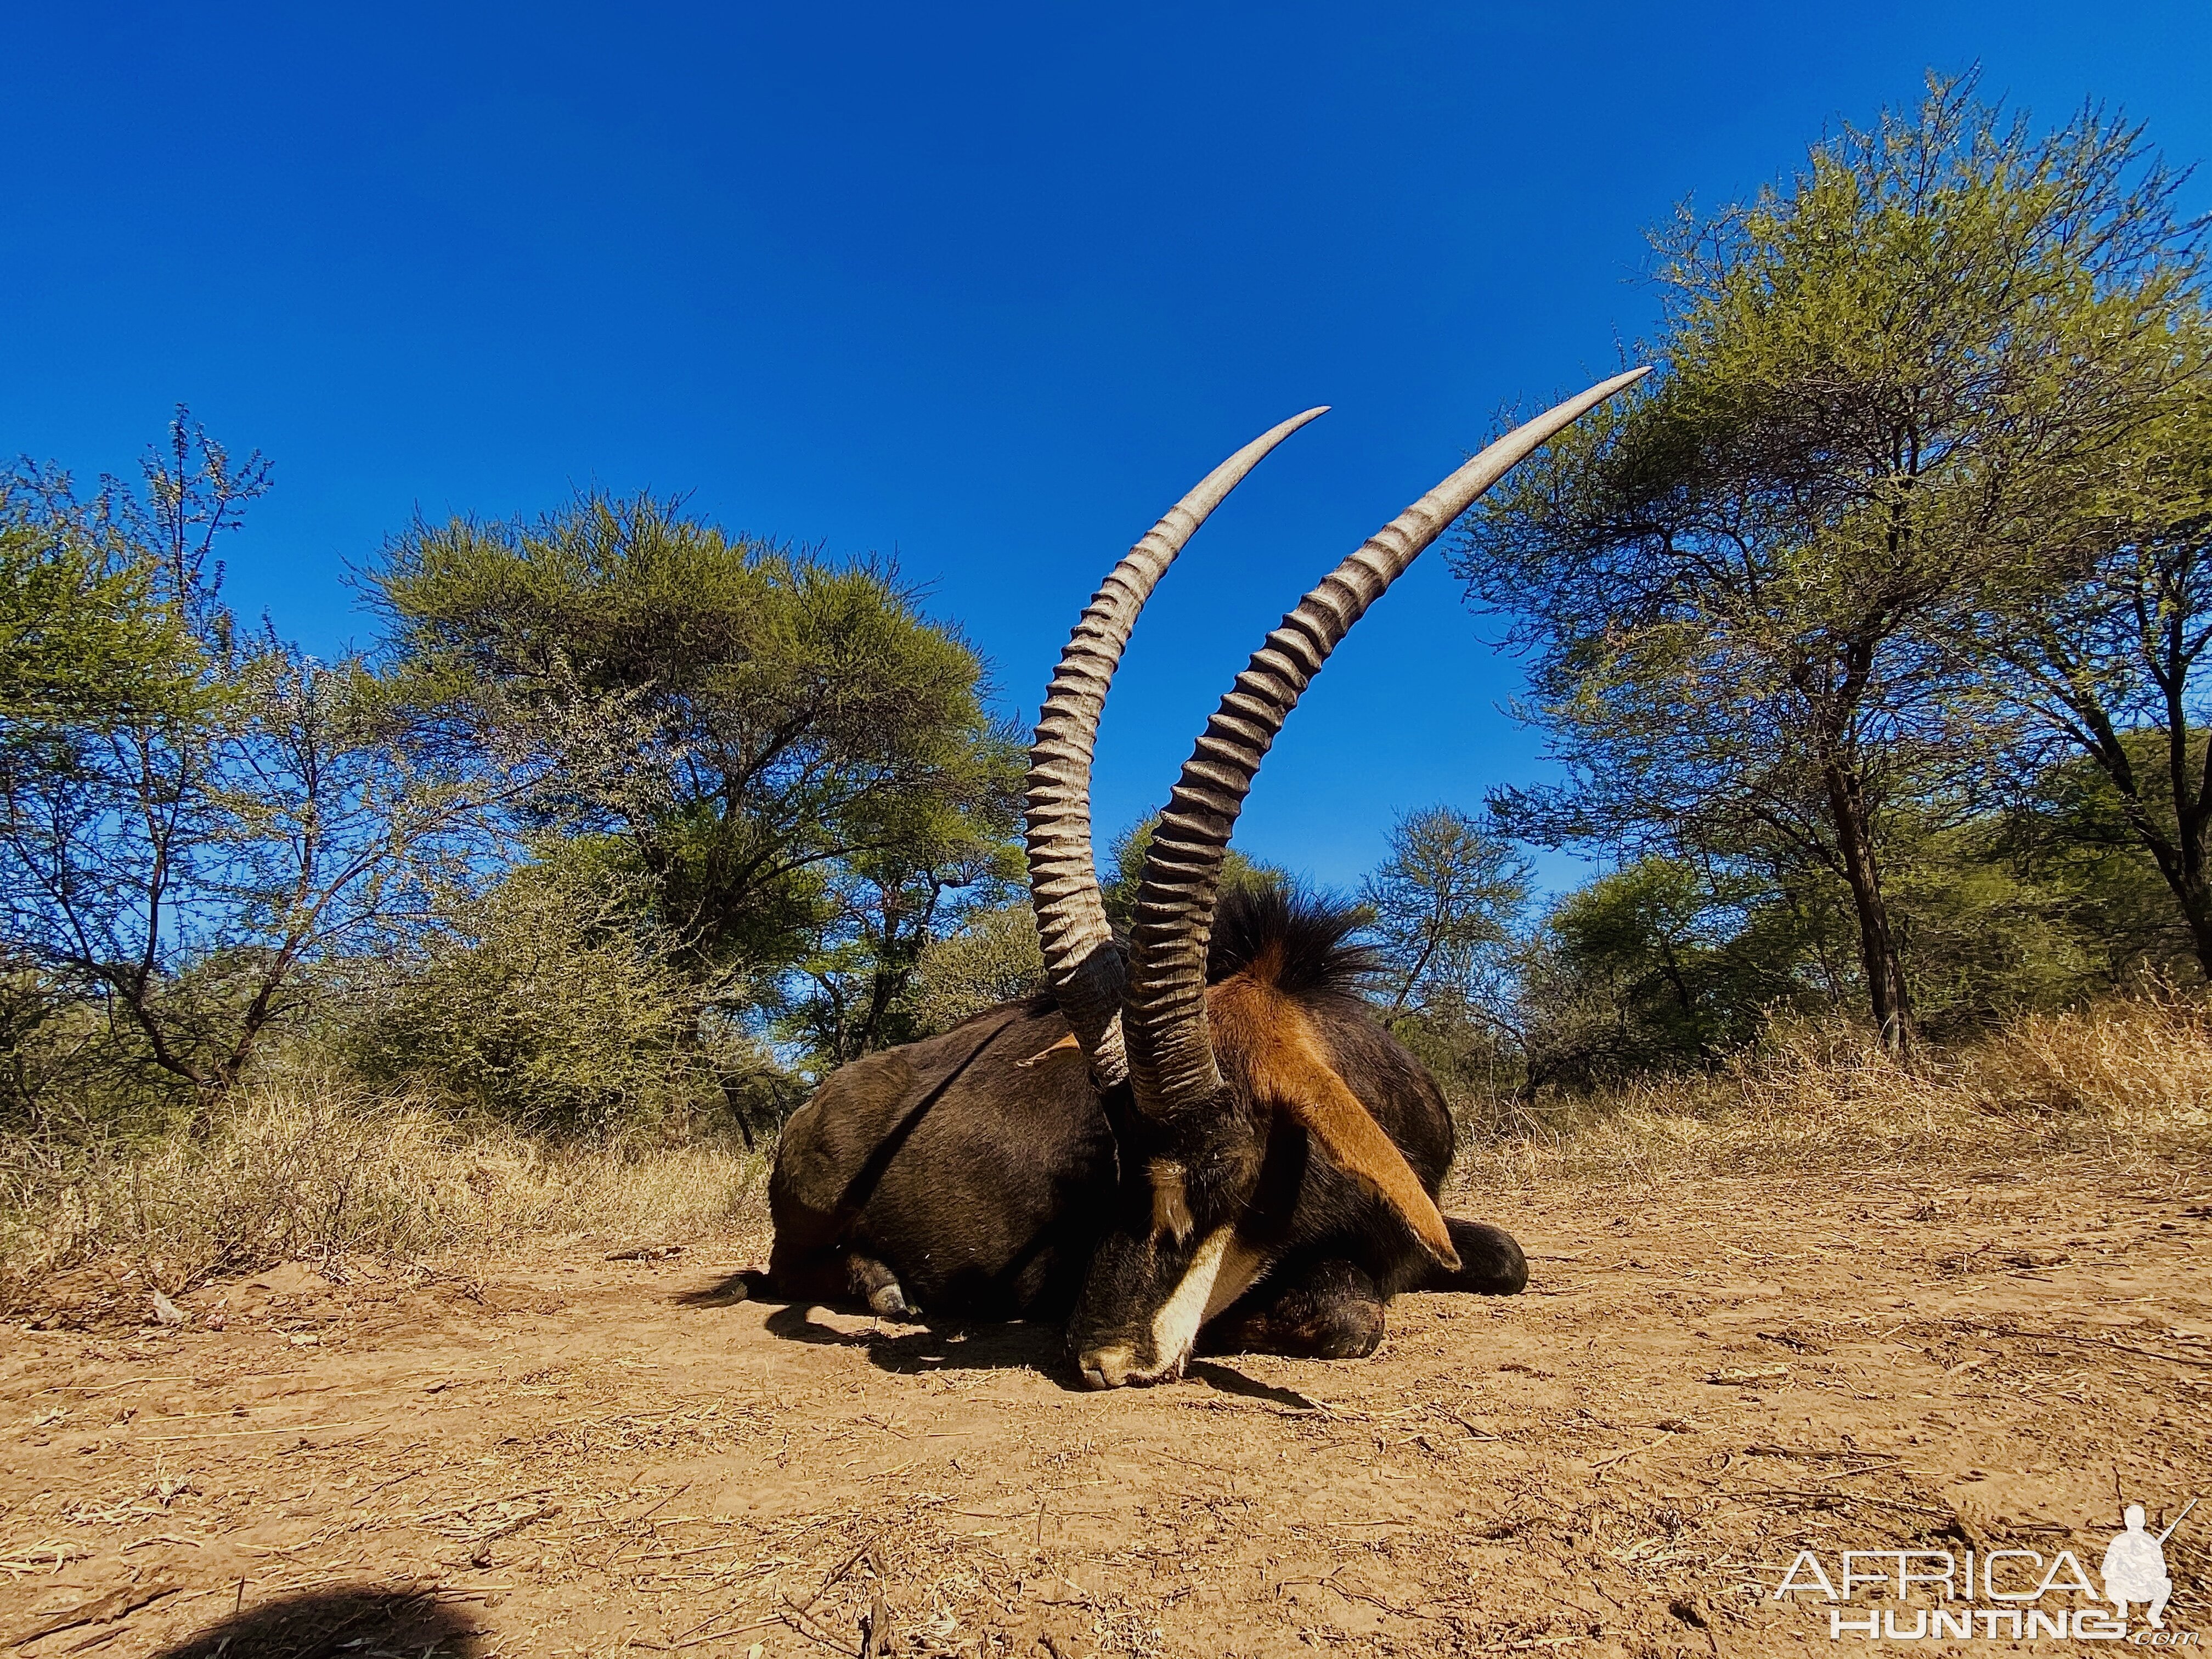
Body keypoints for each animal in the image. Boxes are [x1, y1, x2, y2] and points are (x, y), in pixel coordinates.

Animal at [770, 367, 1654, 1389]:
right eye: (1113, 1167)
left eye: (1226, 1164)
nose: (1100, 1357)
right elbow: (1348, 1311)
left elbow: (1507, 1257)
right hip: (804, 1235)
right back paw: (884, 1287)